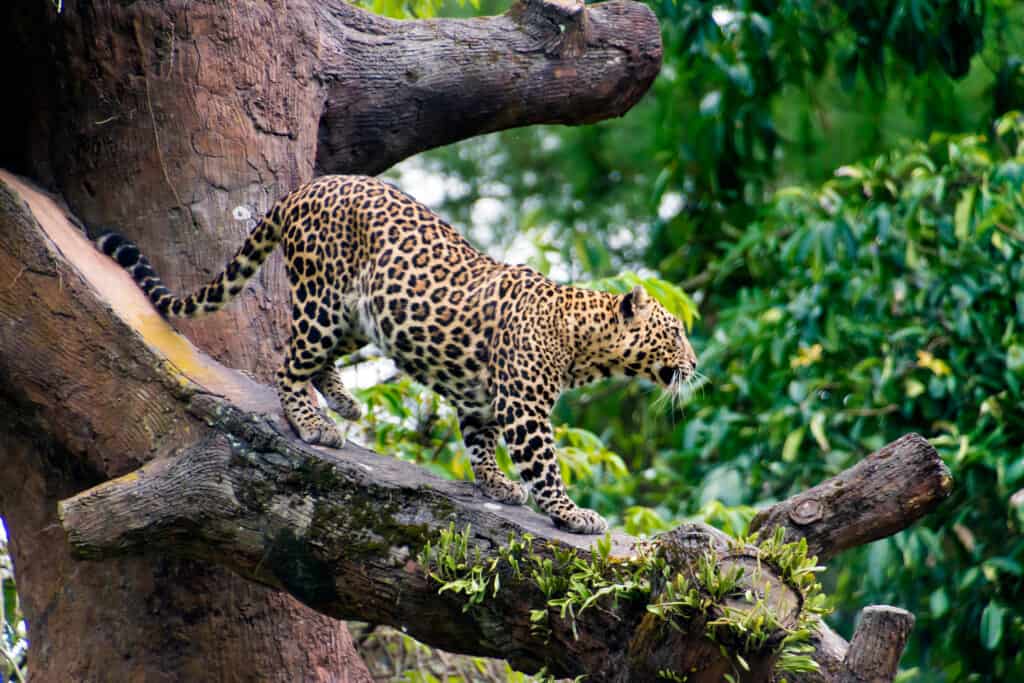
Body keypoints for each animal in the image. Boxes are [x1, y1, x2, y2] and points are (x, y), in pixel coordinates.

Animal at [96, 175, 698, 534]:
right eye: (674, 332)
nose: (695, 366)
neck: (581, 342)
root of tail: (306, 187)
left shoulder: (481, 401)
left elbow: (479, 444)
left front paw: (496, 485)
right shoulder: (524, 410)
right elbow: (544, 466)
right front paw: (573, 515)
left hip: (362, 317)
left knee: (320, 359)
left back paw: (344, 403)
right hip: (323, 298)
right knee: (288, 363)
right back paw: (314, 424)